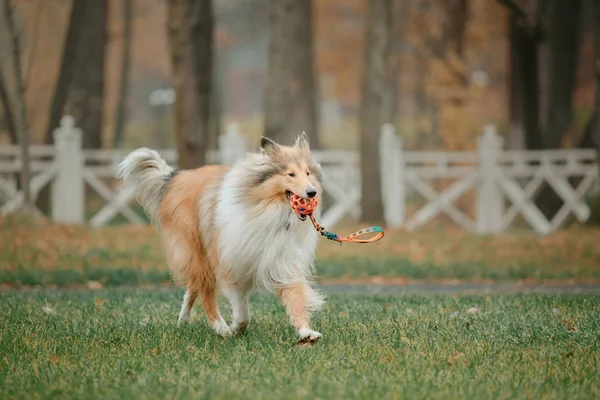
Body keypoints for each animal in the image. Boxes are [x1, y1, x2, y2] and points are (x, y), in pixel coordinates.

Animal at [116, 133, 324, 342]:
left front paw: (306, 332)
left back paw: (183, 320)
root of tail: (177, 177)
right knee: (206, 296)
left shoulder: (283, 262)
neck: (271, 211)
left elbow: (295, 298)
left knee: (192, 289)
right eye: (291, 174)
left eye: (307, 173)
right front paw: (236, 328)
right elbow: (242, 311)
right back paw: (220, 327)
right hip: (199, 255)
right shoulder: (233, 263)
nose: (312, 192)